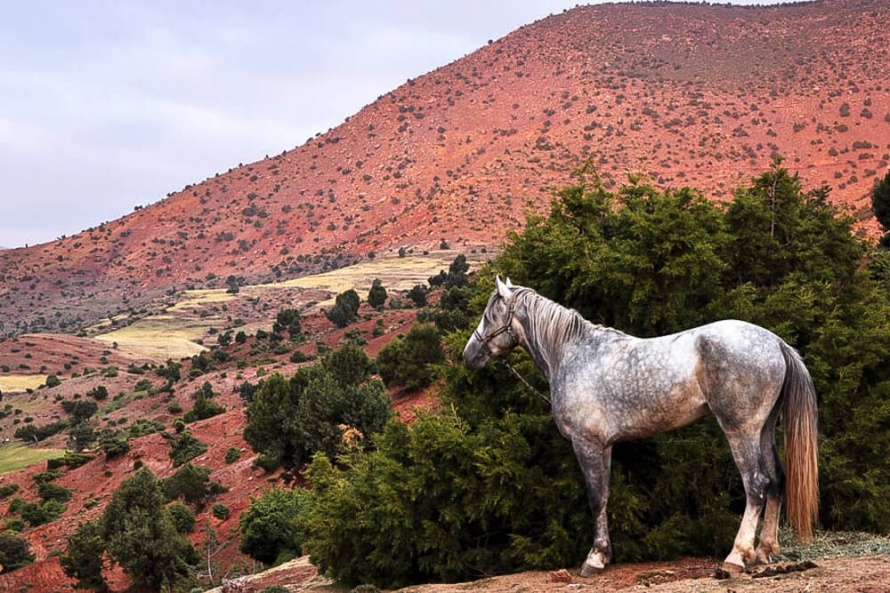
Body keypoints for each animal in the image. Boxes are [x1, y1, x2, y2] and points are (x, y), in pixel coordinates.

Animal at [464, 280, 820, 576]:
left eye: (489, 314)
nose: (468, 355)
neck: (574, 355)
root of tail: (775, 342)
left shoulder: (586, 443)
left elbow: (595, 497)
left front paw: (594, 559)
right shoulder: (604, 445)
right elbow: (605, 495)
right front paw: (604, 554)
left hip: (741, 431)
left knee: (756, 484)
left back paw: (737, 556)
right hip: (763, 430)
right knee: (776, 481)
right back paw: (764, 551)